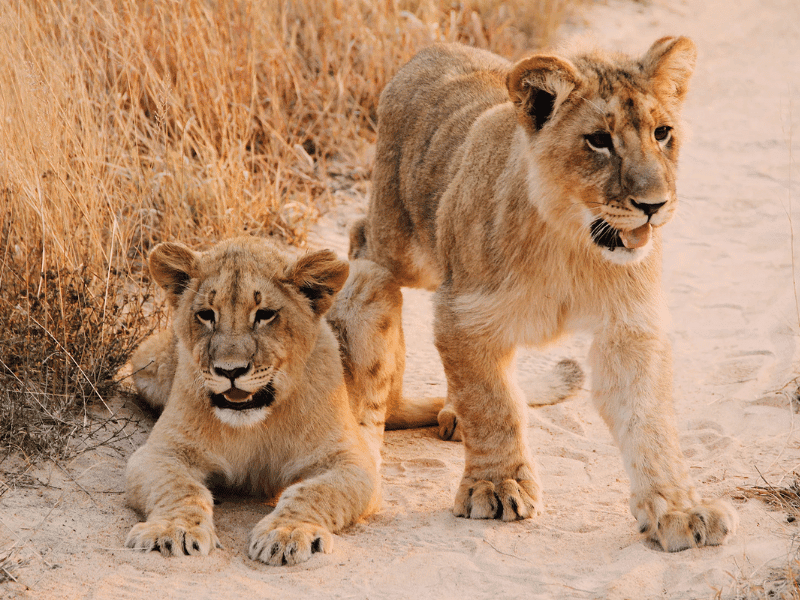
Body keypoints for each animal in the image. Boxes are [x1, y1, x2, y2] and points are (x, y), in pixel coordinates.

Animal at [350, 38, 739, 552]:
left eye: (662, 133)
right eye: (598, 140)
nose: (654, 205)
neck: (570, 241)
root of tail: (435, 47)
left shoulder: (631, 326)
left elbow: (649, 420)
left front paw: (677, 510)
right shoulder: (464, 312)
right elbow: (492, 403)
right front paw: (496, 485)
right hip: (399, 244)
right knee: (361, 238)